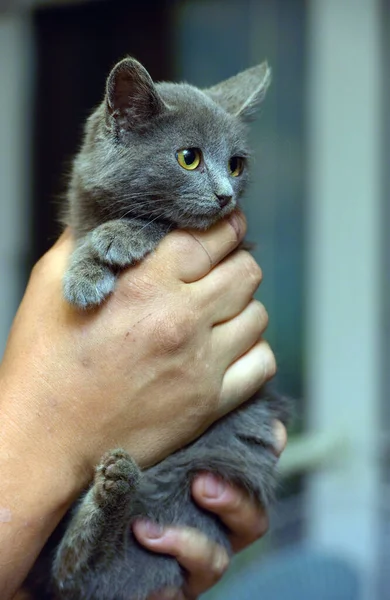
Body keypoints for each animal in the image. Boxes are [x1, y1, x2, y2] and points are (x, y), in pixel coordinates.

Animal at [23, 57, 290, 600]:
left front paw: (111, 245)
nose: (225, 195)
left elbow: (161, 223)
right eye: (189, 158)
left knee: (77, 572)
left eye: (236, 164)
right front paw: (86, 270)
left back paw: (114, 487)